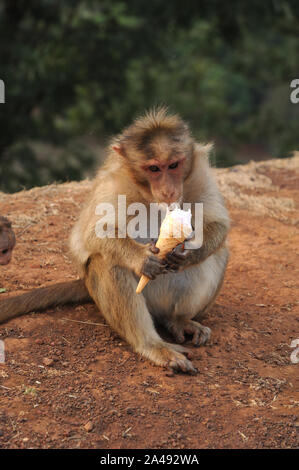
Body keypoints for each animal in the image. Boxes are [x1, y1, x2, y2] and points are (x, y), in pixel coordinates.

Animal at [0, 107, 231, 374]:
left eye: (173, 165)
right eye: (154, 169)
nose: (169, 191)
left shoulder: (199, 172)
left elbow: (219, 223)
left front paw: (187, 254)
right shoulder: (113, 181)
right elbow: (92, 234)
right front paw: (142, 258)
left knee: (220, 252)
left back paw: (179, 320)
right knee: (106, 261)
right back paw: (151, 344)